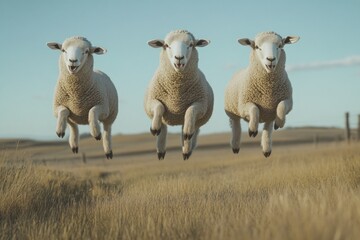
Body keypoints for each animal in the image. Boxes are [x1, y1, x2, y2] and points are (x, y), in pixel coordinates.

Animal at [145, 30, 215, 161]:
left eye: (191, 44)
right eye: (166, 45)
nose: (179, 58)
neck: (176, 93)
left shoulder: (201, 104)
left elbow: (190, 110)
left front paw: (187, 134)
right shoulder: (151, 101)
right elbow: (159, 107)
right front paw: (154, 128)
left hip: (197, 120)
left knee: (190, 132)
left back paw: (187, 149)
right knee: (163, 128)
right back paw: (160, 150)